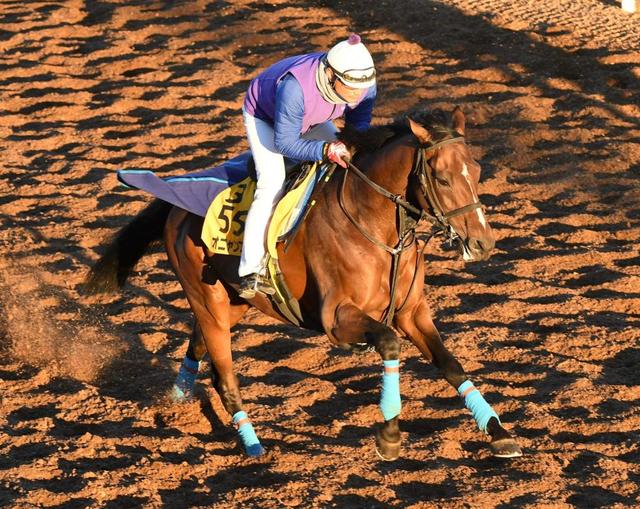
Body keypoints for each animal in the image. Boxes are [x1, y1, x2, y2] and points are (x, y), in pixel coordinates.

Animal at [85, 108, 524, 460]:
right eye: (443, 179)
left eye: (477, 172)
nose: (483, 243)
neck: (373, 225)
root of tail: (175, 207)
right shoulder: (337, 320)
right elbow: (389, 344)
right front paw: (389, 435)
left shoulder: (412, 312)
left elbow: (450, 364)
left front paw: (498, 431)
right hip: (207, 301)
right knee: (224, 376)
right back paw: (252, 444)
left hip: (230, 303)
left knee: (196, 347)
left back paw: (175, 402)